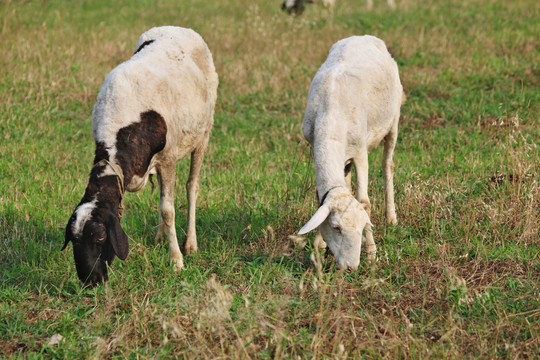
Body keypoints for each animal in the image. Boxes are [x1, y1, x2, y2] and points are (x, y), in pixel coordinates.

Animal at [61, 26, 217, 286]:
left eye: (100, 237)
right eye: (73, 240)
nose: (90, 281)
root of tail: (176, 27)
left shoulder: (168, 158)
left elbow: (168, 210)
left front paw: (176, 260)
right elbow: (164, 205)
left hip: (203, 133)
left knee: (191, 187)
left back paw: (190, 244)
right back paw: (159, 236)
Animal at [298, 35, 402, 272]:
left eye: (362, 225)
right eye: (336, 227)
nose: (351, 267)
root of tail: (364, 36)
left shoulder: (360, 152)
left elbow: (365, 202)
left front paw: (372, 253)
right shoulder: (314, 147)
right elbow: (321, 198)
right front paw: (319, 246)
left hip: (393, 121)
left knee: (388, 165)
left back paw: (391, 217)